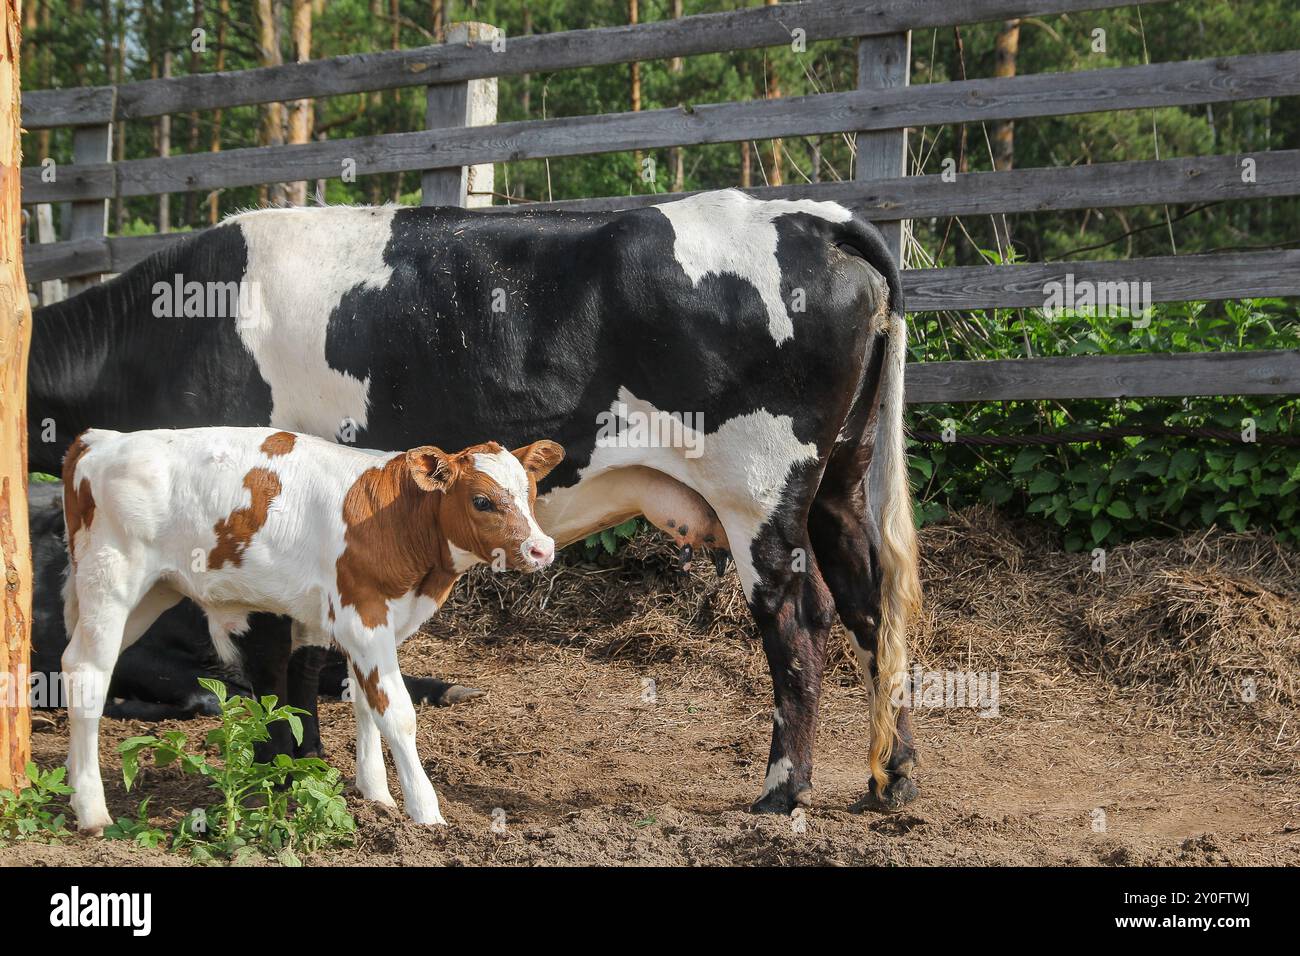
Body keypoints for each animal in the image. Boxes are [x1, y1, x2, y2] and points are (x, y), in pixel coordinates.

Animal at [61, 426, 561, 832]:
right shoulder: (364, 617)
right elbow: (396, 712)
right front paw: (425, 812)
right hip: (111, 581)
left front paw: (375, 795)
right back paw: (92, 811)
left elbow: (364, 702)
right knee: (89, 672)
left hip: (154, 591)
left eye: (531, 492)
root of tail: (101, 440)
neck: (396, 518)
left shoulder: (371, 626)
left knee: (72, 664)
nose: (541, 549)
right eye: (482, 501)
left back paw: (72, 782)